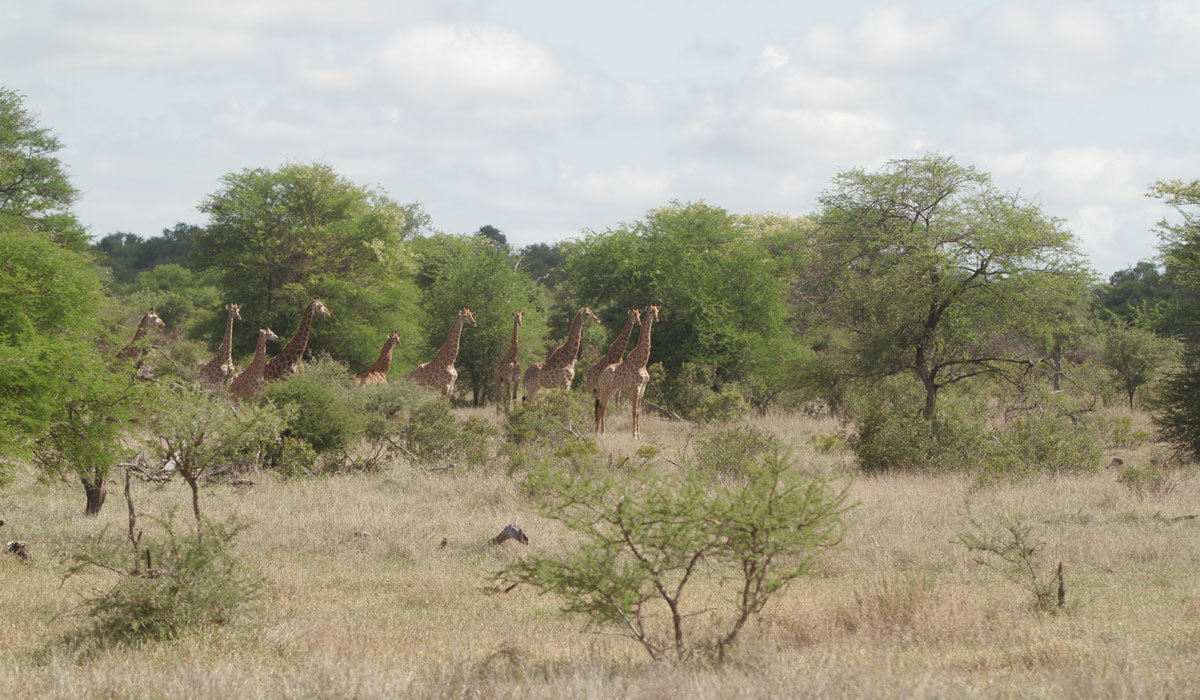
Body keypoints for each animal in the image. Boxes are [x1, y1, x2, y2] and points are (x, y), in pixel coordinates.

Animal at [595, 304, 662, 437]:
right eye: (650, 312)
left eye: (657, 311)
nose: (657, 319)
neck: (642, 362)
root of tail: (600, 375)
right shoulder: (636, 386)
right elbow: (634, 410)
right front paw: (634, 434)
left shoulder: (643, 387)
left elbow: (639, 411)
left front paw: (639, 434)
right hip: (605, 389)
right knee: (602, 408)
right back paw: (602, 433)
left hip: (611, 390)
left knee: (602, 408)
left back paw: (600, 432)